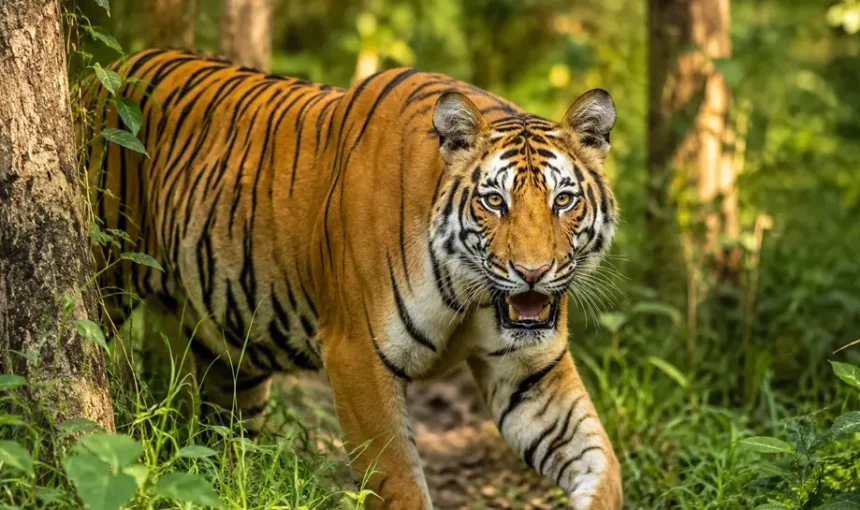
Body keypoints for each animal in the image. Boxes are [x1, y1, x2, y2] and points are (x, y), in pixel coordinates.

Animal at [83, 48, 623, 509]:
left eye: (563, 200)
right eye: (494, 201)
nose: (532, 273)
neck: (469, 291)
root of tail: (108, 67)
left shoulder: (530, 372)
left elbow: (602, 465)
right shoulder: (357, 355)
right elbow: (398, 481)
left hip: (230, 356)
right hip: (108, 279)